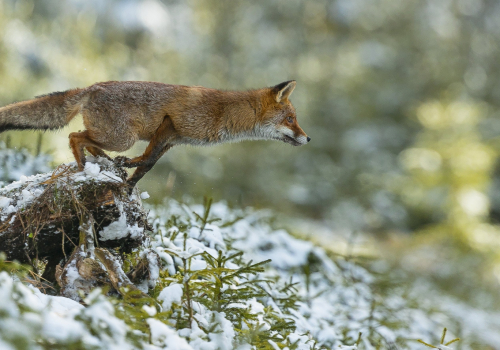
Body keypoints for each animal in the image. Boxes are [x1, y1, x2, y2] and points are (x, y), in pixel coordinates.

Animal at [0, 80, 308, 189]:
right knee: (75, 136)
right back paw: (82, 166)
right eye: (291, 119)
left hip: (116, 136)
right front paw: (128, 172)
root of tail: (92, 87)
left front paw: (129, 180)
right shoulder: (169, 125)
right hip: (122, 137)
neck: (224, 112)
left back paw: (102, 161)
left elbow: (147, 164)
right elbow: (146, 161)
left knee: (87, 140)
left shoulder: (171, 141)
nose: (308, 139)